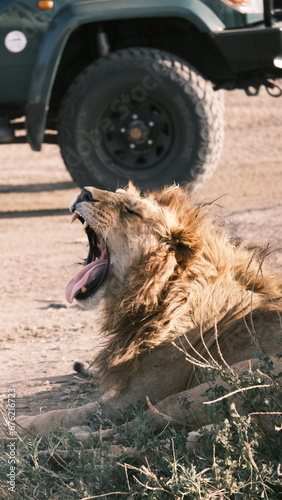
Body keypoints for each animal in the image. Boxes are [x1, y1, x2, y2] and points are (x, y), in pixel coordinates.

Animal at [9, 183, 280, 438]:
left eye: (131, 211)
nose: (84, 192)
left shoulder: (134, 398)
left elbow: (66, 414)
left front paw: (17, 424)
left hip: (219, 383)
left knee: (142, 425)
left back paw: (80, 436)